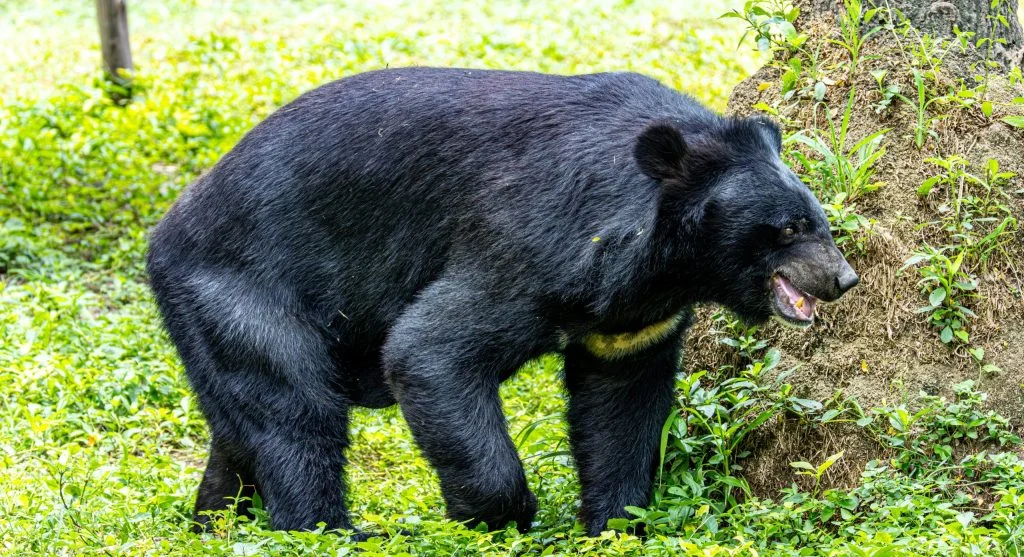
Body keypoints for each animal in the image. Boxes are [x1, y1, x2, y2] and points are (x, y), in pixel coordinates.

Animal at [146, 67, 859, 537]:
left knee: (242, 426)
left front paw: (618, 522)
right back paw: (326, 530)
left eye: (820, 221)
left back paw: (214, 519)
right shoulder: (527, 241)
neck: (665, 263)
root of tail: (166, 231)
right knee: (296, 415)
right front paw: (503, 517)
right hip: (243, 290)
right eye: (789, 228)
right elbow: (430, 349)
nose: (843, 280)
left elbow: (621, 405)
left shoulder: (632, 318)